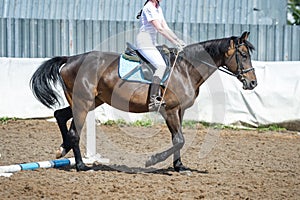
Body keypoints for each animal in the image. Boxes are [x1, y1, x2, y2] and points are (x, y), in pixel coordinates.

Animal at [30, 31, 256, 172]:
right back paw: (80, 165)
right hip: (82, 103)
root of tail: (71, 59)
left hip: (91, 102)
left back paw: (63, 149)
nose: (253, 83)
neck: (185, 69)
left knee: (60, 115)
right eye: (243, 55)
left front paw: (179, 166)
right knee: (74, 132)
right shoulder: (170, 110)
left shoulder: (179, 110)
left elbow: (178, 139)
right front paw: (152, 160)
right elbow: (179, 139)